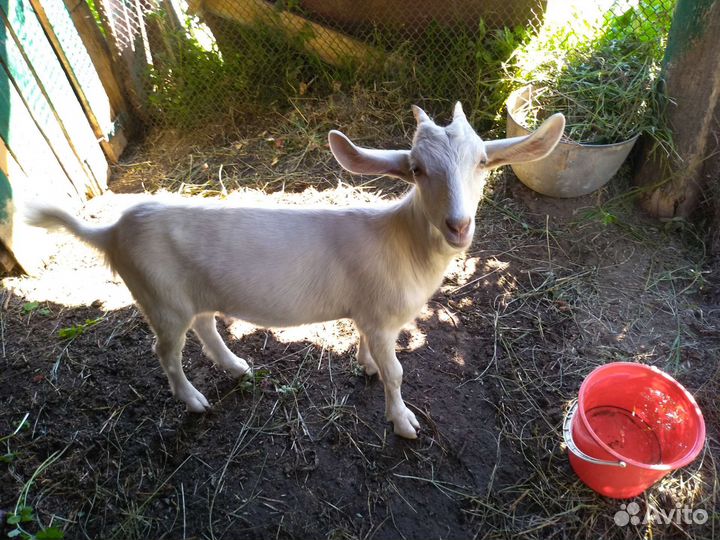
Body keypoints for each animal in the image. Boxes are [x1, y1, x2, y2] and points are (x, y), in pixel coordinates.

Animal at [28, 103, 564, 438]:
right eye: (416, 169)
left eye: (482, 163)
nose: (458, 226)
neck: (402, 240)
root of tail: (111, 231)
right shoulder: (381, 316)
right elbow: (396, 372)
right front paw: (403, 422)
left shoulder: (367, 314)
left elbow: (368, 351)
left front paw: (367, 368)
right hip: (159, 299)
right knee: (167, 351)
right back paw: (194, 400)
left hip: (187, 295)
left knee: (205, 325)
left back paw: (236, 366)